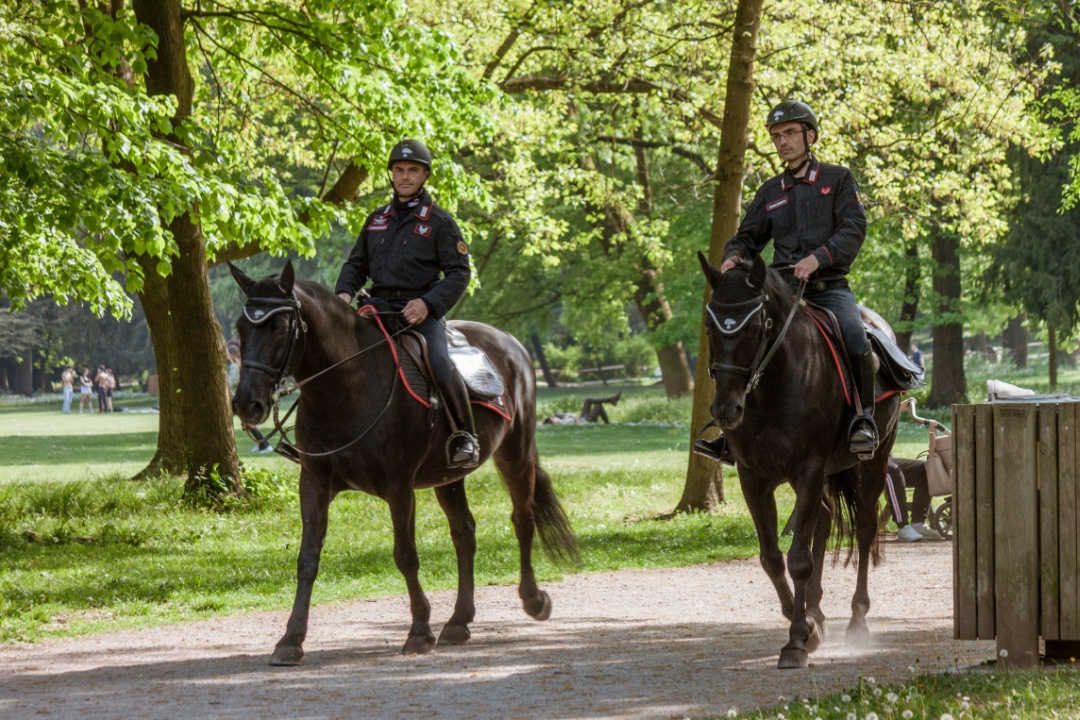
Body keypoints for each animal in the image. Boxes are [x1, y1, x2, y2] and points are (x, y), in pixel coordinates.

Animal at [231, 262, 578, 669]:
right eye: (240, 327)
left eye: (281, 327)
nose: (247, 404)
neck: (349, 385)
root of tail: (510, 342)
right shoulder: (314, 481)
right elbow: (307, 559)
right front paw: (290, 640)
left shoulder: (398, 486)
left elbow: (405, 555)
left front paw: (419, 631)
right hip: (448, 477)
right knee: (464, 533)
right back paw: (458, 621)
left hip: (515, 453)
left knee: (522, 519)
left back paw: (533, 599)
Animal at [695, 253, 898, 669]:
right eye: (709, 326)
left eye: (756, 326)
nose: (725, 410)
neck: (774, 386)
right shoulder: (753, 477)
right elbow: (772, 557)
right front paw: (805, 626)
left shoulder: (808, 470)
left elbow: (799, 558)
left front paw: (796, 643)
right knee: (824, 517)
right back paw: (817, 612)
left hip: (875, 458)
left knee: (865, 527)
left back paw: (857, 620)